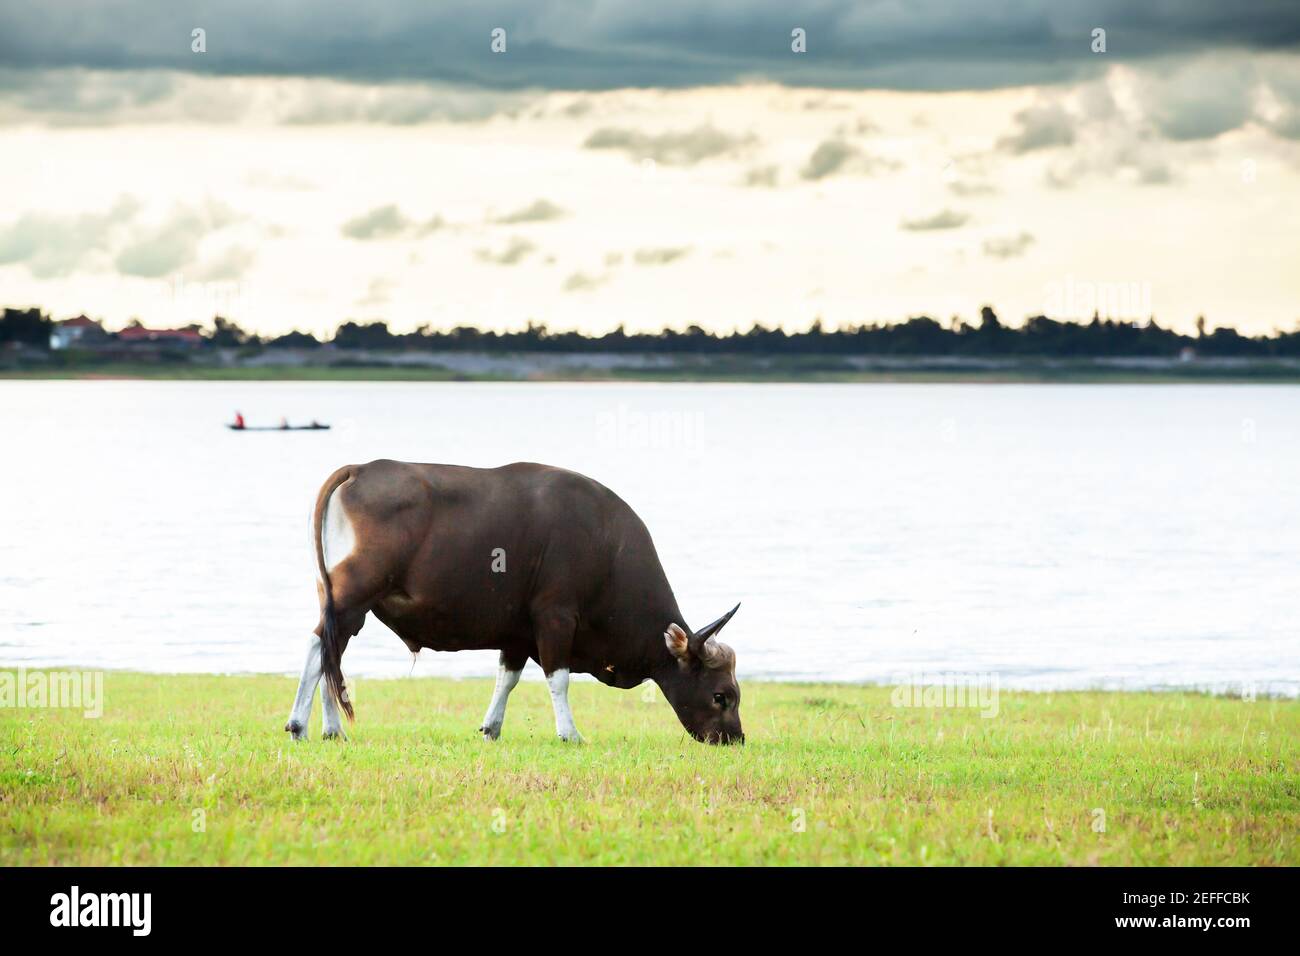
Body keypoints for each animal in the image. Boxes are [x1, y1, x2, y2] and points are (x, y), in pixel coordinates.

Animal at [286, 463, 748, 749]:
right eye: (721, 695)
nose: (735, 739)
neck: (606, 548)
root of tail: (359, 469)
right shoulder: (555, 617)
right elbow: (558, 678)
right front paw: (570, 733)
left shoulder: (517, 634)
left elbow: (506, 678)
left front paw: (491, 728)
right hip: (354, 596)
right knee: (319, 647)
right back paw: (298, 726)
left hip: (342, 602)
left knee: (332, 653)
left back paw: (331, 730)